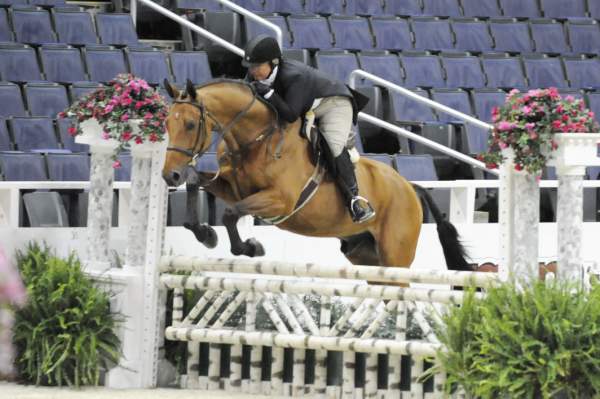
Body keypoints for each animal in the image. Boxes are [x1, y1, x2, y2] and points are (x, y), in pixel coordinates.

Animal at [162, 78, 472, 272]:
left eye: (190, 124)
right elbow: (197, 183)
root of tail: (410, 187)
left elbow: (230, 214)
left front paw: (250, 247)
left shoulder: (279, 201)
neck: (255, 139)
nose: (170, 176)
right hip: (364, 255)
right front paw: (205, 234)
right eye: (166, 123)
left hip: (396, 257)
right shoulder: (232, 187)